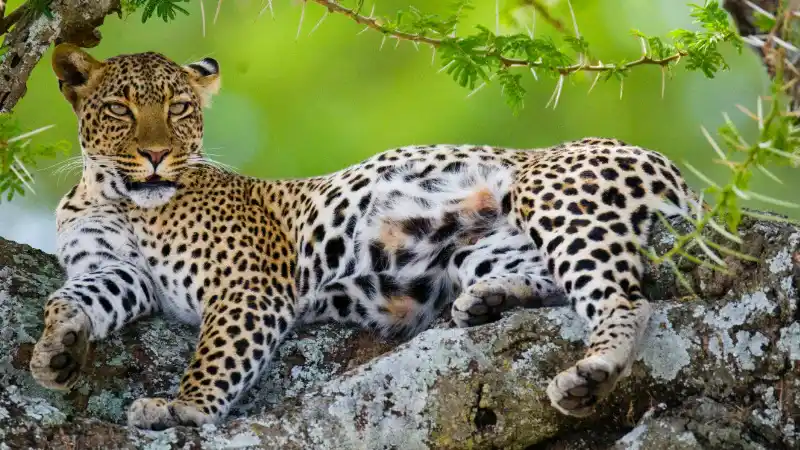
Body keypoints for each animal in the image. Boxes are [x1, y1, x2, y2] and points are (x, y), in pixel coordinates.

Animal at [29, 43, 694, 430]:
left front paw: (184, 407)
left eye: (181, 110)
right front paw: (56, 350)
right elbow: (70, 297)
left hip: (551, 194)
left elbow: (218, 352)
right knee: (553, 278)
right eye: (119, 109)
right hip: (479, 246)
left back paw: (593, 372)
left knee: (625, 298)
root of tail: (670, 165)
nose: (156, 155)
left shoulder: (249, 287)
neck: (116, 198)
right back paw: (489, 300)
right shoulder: (116, 271)